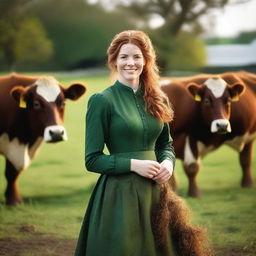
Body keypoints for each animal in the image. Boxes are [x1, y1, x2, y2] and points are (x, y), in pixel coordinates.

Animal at [0, 73, 87, 205]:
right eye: (36, 104)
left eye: (63, 103)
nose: (56, 133)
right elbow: (11, 173)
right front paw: (13, 201)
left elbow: (14, 173)